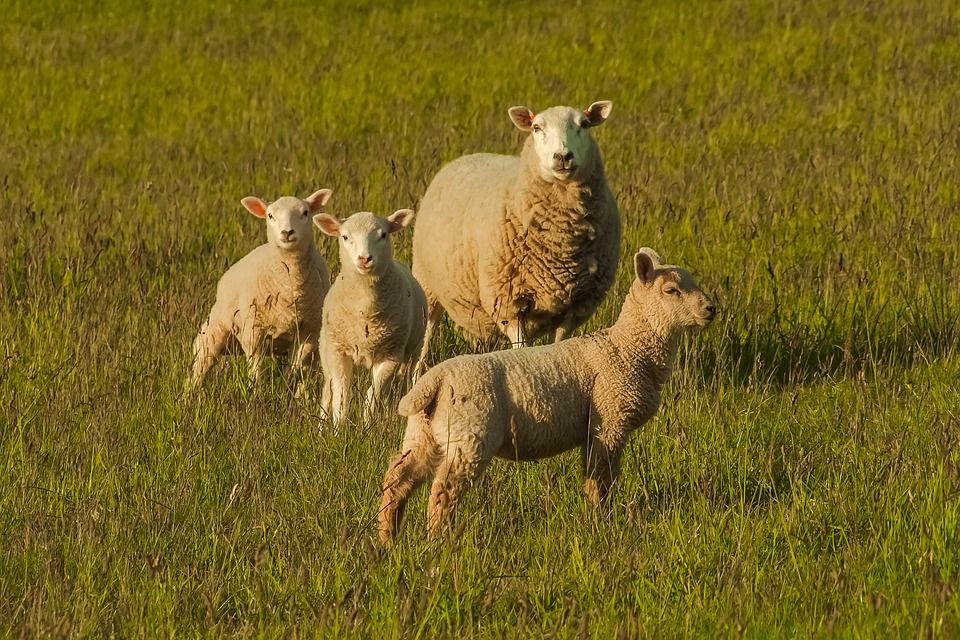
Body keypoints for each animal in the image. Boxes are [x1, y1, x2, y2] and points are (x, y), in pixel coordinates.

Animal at [188, 189, 333, 395]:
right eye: (270, 215)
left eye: (305, 213)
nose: (287, 233)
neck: (291, 287)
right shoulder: (253, 330)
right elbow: (255, 368)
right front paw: (256, 393)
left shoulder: (308, 334)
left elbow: (294, 369)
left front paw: (285, 392)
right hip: (212, 332)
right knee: (200, 368)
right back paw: (189, 395)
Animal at [314, 209, 427, 425]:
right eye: (345, 237)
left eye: (383, 235)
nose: (364, 259)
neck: (365, 309)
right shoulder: (338, 352)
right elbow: (341, 397)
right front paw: (339, 428)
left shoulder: (391, 355)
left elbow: (372, 395)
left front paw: (367, 424)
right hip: (326, 351)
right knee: (327, 392)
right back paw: (322, 425)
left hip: (414, 351)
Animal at [377, 248, 716, 544]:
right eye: (671, 290)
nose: (711, 309)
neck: (627, 348)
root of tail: (434, 380)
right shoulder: (610, 422)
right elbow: (602, 478)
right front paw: (602, 521)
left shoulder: (597, 428)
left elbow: (595, 476)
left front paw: (596, 518)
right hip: (470, 434)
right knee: (442, 490)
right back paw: (438, 542)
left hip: (426, 433)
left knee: (398, 480)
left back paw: (388, 540)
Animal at [411, 100, 620, 376]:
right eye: (536, 128)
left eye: (584, 124)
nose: (563, 157)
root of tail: (470, 155)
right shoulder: (510, 304)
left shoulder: (573, 309)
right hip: (427, 285)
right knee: (424, 339)